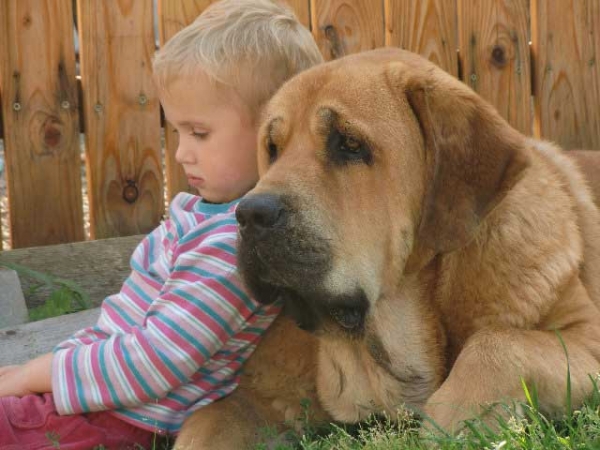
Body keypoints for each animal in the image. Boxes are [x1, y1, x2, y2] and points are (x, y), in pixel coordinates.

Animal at [173, 49, 600, 446]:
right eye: (272, 148)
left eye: (349, 144)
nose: (250, 214)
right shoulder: (256, 394)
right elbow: (210, 420)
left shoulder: (584, 334)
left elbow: (500, 344)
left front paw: (455, 420)